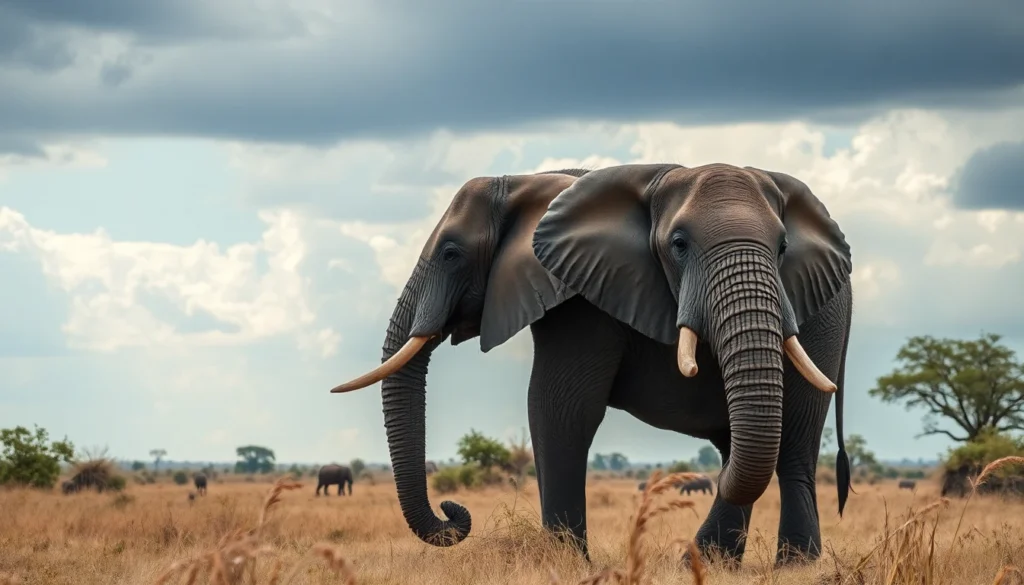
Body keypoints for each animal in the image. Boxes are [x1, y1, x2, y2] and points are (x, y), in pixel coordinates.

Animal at [329, 163, 853, 568]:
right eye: (679, 244)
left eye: (450, 253)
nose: (452, 508)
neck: (528, 183)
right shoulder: (583, 288)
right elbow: (559, 409)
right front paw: (567, 561)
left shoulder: (583, 303)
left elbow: (559, 408)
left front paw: (566, 563)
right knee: (749, 446)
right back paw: (713, 562)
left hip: (822, 324)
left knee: (793, 444)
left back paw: (787, 566)